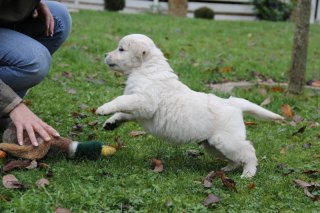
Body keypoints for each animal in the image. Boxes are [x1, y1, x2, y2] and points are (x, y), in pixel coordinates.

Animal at [95, 34, 282, 178]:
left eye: (121, 49)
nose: (104, 54)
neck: (146, 68)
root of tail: (232, 102)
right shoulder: (141, 109)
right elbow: (124, 113)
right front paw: (111, 122)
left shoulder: (146, 101)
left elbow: (121, 100)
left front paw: (103, 108)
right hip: (213, 145)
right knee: (236, 157)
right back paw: (228, 168)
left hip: (227, 140)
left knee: (248, 151)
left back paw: (248, 173)